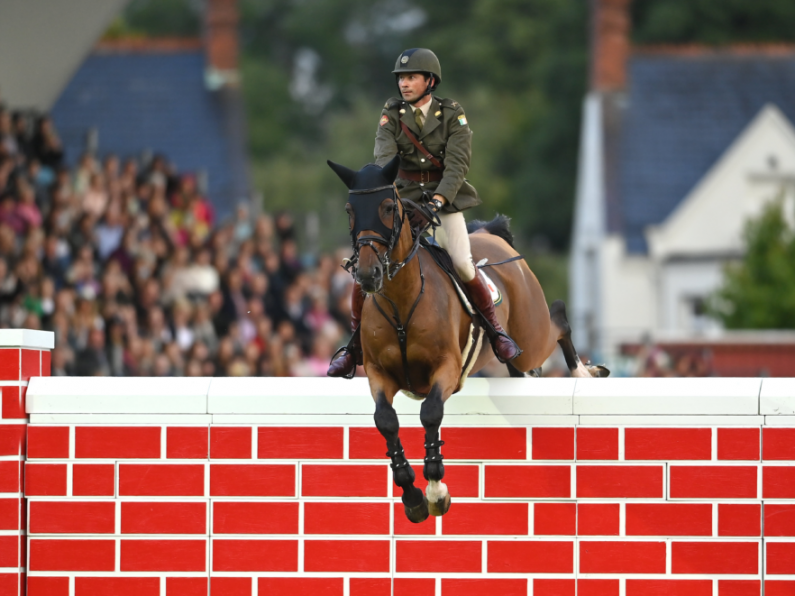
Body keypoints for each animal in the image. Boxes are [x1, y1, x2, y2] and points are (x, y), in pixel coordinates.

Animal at [326, 155, 608, 520]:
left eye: (388, 207)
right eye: (350, 209)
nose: (367, 275)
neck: (401, 298)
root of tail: (491, 234)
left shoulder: (447, 368)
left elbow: (430, 413)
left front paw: (436, 491)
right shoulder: (378, 372)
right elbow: (385, 420)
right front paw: (412, 496)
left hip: (531, 335)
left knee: (557, 318)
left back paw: (585, 372)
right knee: (522, 364)